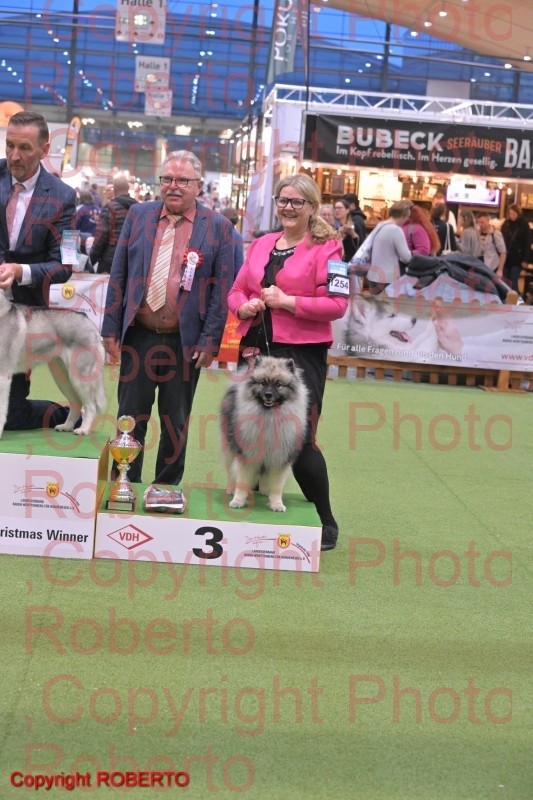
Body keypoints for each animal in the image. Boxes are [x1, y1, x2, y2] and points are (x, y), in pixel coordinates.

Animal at [0, 292, 106, 438]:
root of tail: (86, 318)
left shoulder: (3, 376)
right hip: (63, 379)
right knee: (76, 403)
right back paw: (67, 426)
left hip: (79, 378)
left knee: (91, 406)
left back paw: (83, 429)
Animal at [220, 355, 309, 512]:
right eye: (262, 383)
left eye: (278, 384)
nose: (268, 394)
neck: (270, 417)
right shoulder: (247, 456)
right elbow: (241, 481)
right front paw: (238, 500)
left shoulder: (279, 458)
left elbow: (277, 486)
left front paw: (276, 503)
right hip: (230, 447)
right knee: (231, 471)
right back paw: (230, 488)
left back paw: (264, 490)